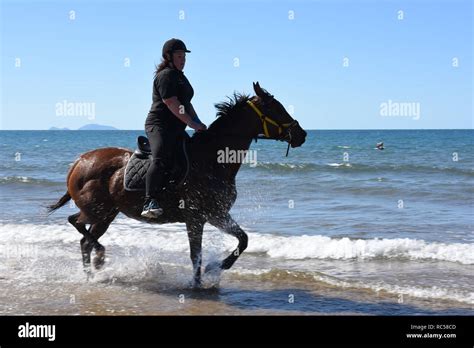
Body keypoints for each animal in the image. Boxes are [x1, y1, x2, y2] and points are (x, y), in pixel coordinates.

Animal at [47, 83, 308, 286]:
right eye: (275, 108)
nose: (302, 135)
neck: (211, 160)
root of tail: (80, 161)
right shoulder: (196, 218)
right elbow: (196, 255)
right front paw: (198, 283)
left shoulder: (217, 214)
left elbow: (243, 240)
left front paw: (215, 269)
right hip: (97, 210)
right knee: (76, 223)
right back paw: (99, 259)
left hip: (107, 214)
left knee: (84, 240)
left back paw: (92, 274)